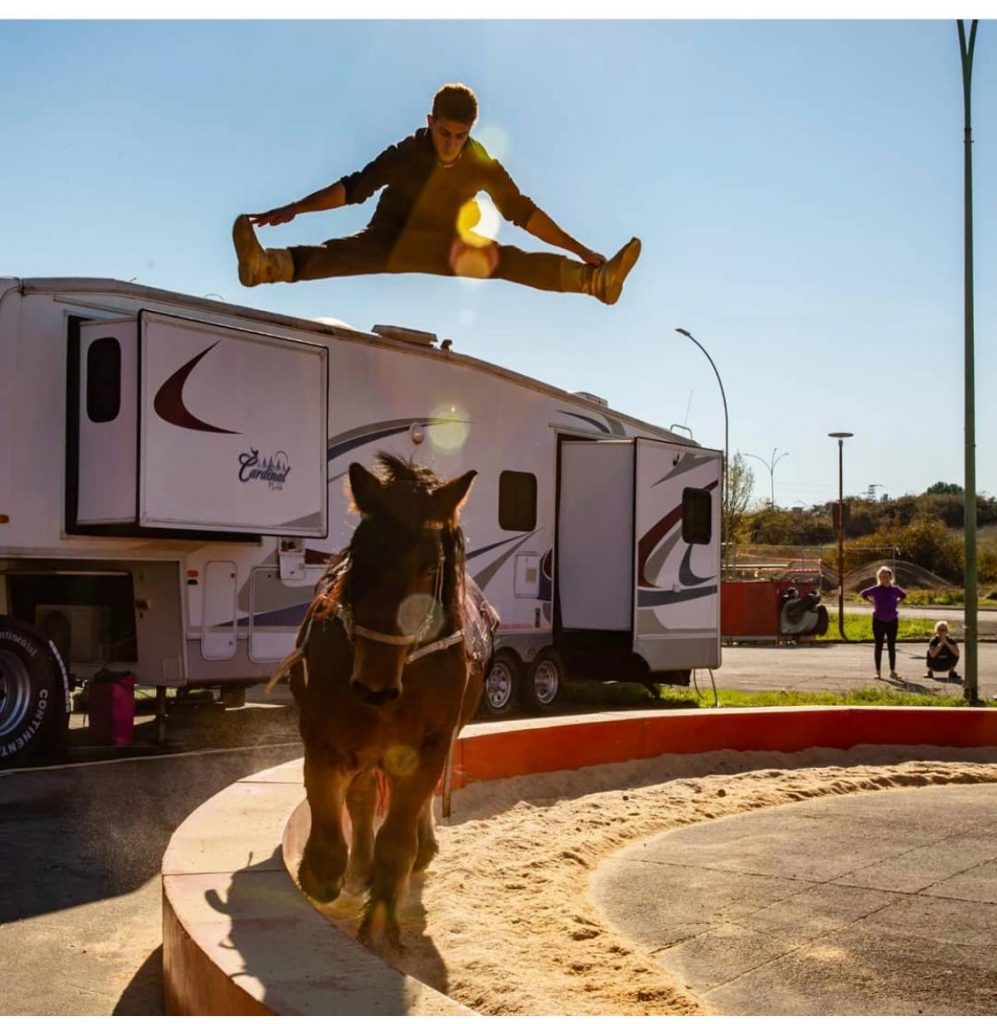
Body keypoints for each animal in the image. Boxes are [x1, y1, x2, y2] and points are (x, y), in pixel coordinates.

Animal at [270, 452, 497, 946]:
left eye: (429, 568)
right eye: (359, 557)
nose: (372, 686)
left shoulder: (429, 747)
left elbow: (397, 838)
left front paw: (381, 916)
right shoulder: (324, 738)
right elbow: (329, 821)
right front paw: (325, 873)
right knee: (359, 800)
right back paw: (358, 868)